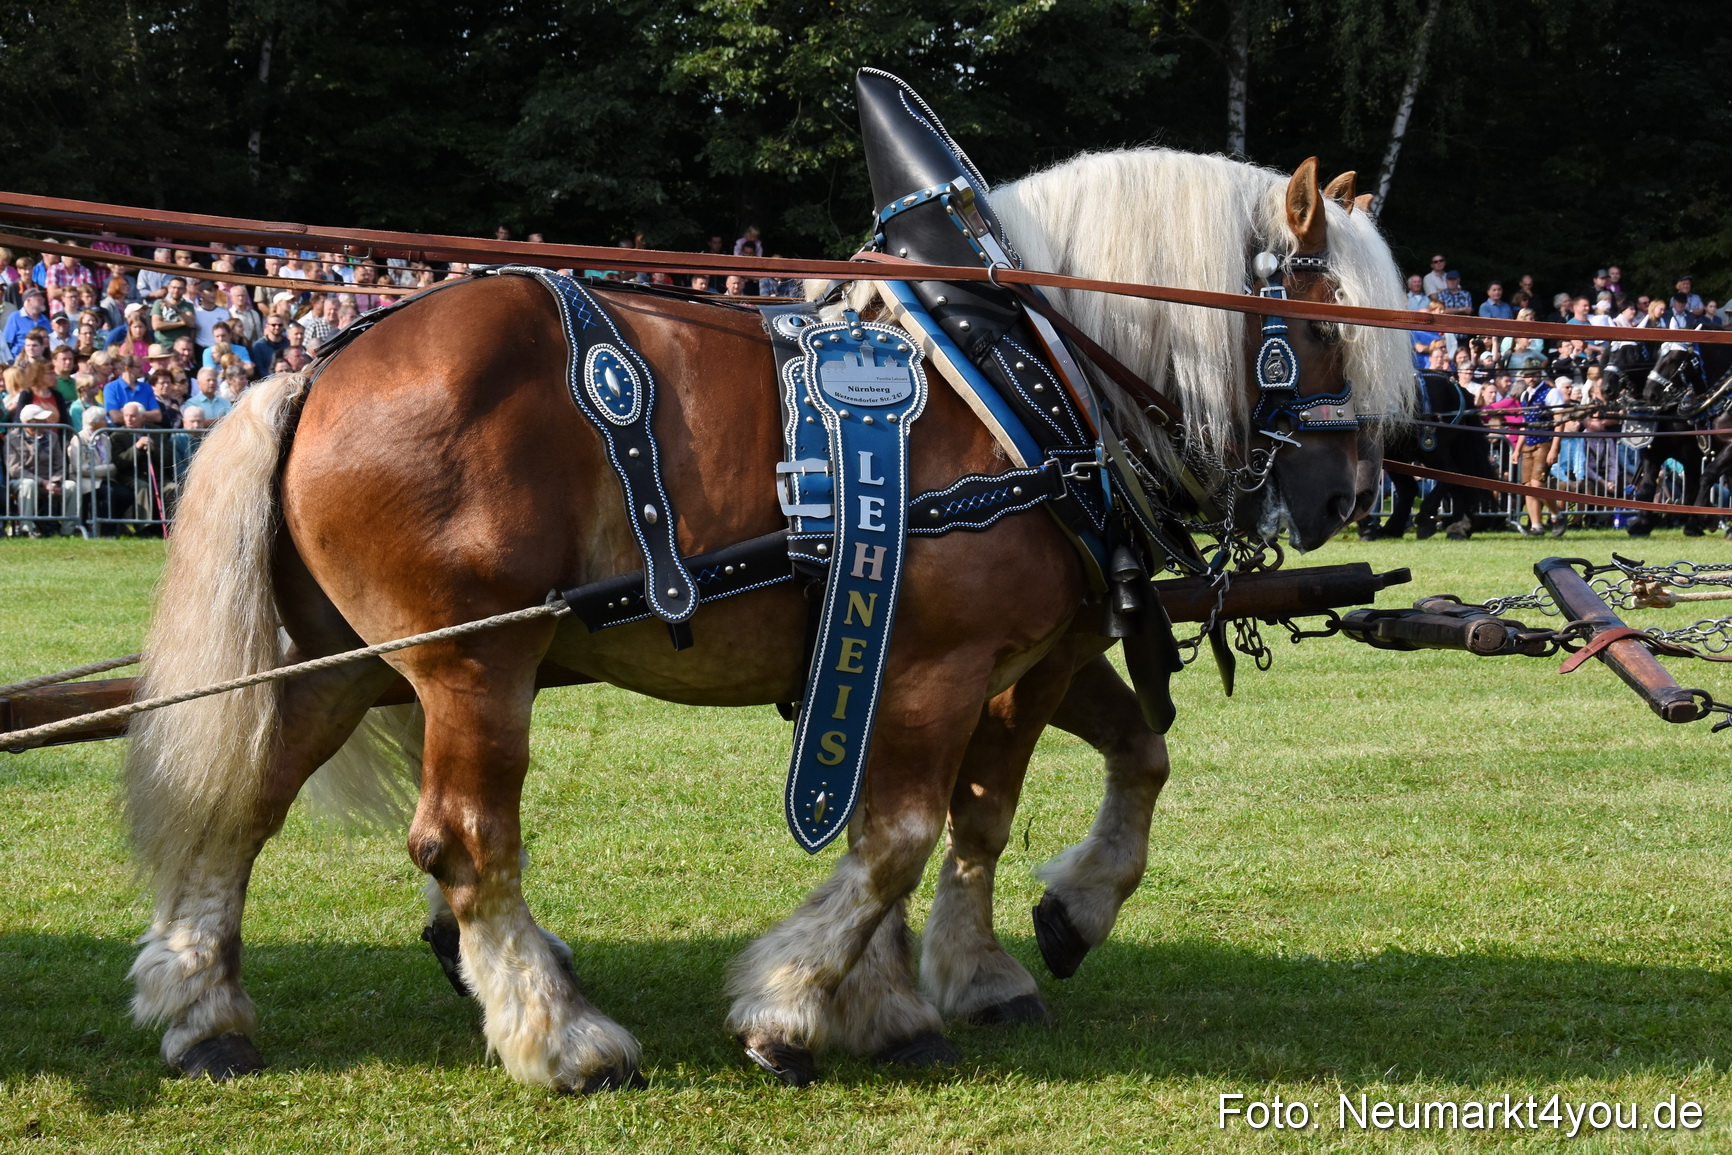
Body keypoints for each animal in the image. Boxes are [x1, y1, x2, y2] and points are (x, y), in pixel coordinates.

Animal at [121, 148, 1411, 1092]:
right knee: (465, 841)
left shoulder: (1013, 653)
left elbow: (1044, 793)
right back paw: (559, 1037)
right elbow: (900, 834)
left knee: (236, 808)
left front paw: (955, 977)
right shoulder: (947, 662)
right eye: (1324, 325)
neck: (1024, 373)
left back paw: (205, 1013)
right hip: (473, 664)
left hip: (342, 661)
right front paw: (791, 1009)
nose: (1344, 498)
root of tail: (314, 371)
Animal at [1360, 370, 1491, 540]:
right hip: (1398, 452)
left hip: (1432, 450)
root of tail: (1453, 384)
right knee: (1412, 488)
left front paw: (1366, 527)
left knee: (1451, 475)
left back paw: (1428, 520)